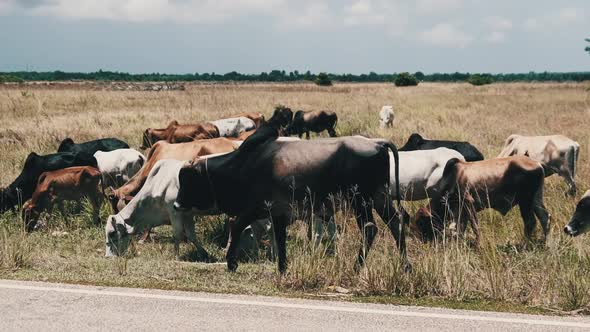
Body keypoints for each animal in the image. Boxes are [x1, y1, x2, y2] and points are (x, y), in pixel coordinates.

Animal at [166, 123, 408, 274]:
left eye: (188, 179)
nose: (177, 204)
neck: (242, 165)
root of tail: (377, 143)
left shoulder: (256, 208)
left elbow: (237, 226)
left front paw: (231, 263)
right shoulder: (277, 213)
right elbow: (279, 239)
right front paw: (282, 267)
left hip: (360, 200)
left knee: (369, 228)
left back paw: (357, 267)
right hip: (380, 198)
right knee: (396, 224)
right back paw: (406, 266)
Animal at [416, 156, 552, 244]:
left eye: (422, 222)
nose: (423, 240)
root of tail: (538, 164)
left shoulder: (468, 201)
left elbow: (474, 226)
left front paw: (478, 245)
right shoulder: (461, 210)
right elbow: (460, 228)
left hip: (525, 200)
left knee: (530, 222)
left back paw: (524, 245)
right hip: (536, 199)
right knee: (545, 218)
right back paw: (548, 244)